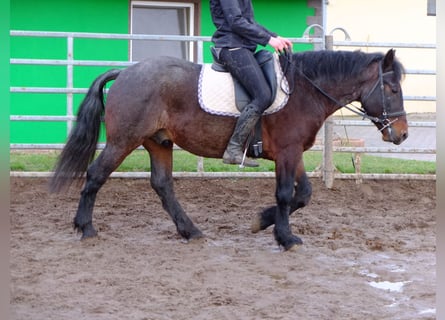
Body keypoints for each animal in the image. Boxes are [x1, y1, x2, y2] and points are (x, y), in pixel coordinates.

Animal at [50, 48, 408, 251]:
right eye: (391, 88)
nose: (403, 134)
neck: (304, 90)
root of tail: (125, 72)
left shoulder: (292, 153)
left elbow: (304, 193)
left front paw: (262, 222)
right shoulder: (287, 152)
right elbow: (285, 195)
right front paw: (285, 237)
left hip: (159, 142)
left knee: (162, 185)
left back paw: (191, 231)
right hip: (124, 140)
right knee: (96, 175)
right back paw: (86, 228)